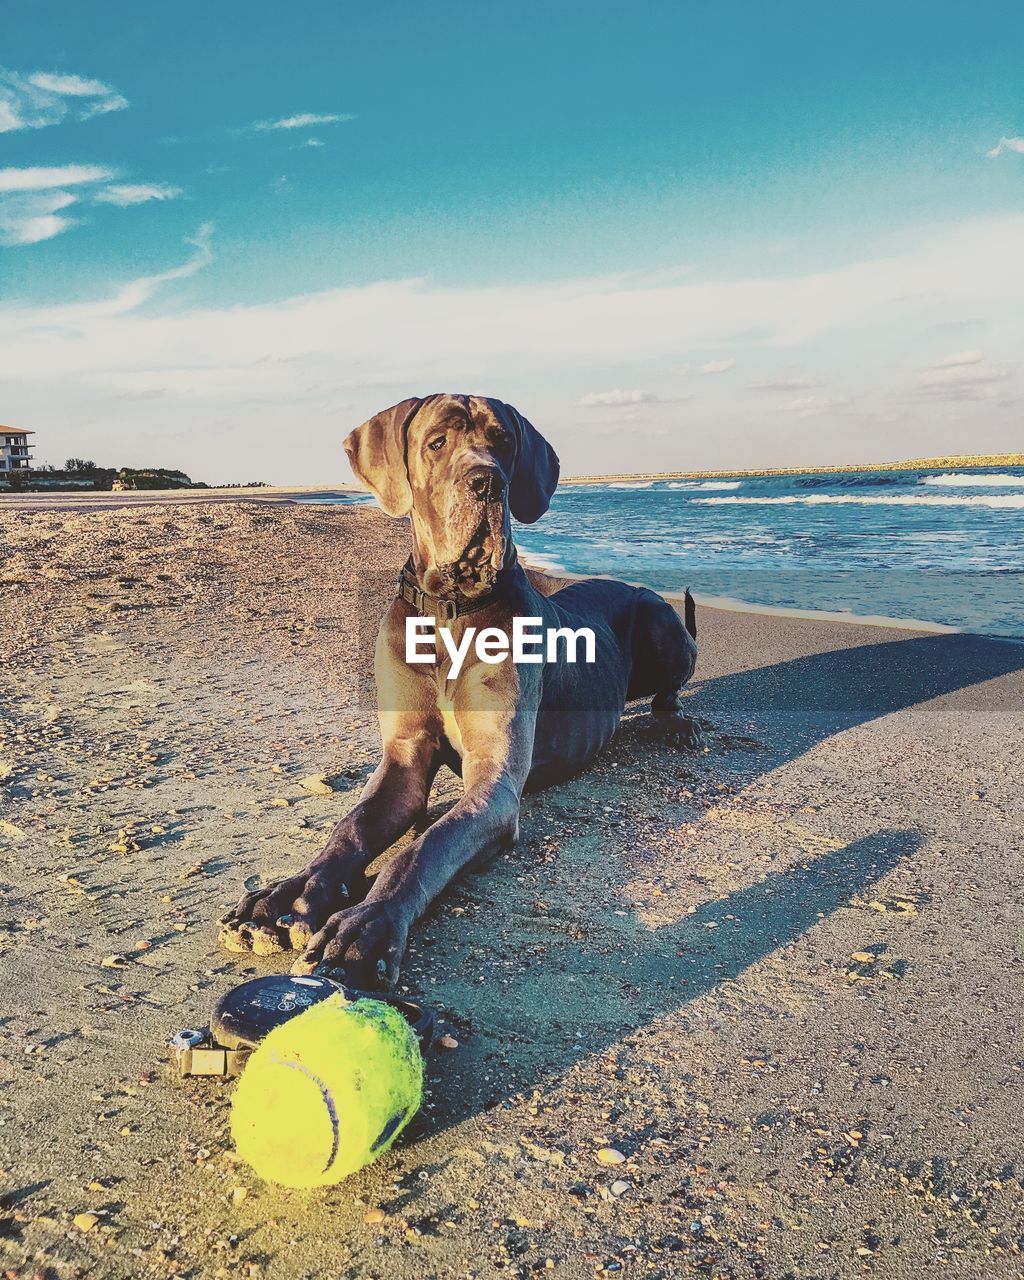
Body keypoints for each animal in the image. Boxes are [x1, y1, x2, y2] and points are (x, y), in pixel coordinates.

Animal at [221, 394, 706, 983]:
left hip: (661, 621)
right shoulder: (403, 759)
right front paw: (288, 896)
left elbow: (424, 849)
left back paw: (678, 724)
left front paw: (368, 924)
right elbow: (350, 830)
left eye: (504, 443)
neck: (450, 610)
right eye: (437, 443)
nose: (487, 482)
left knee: (669, 692)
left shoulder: (494, 784)